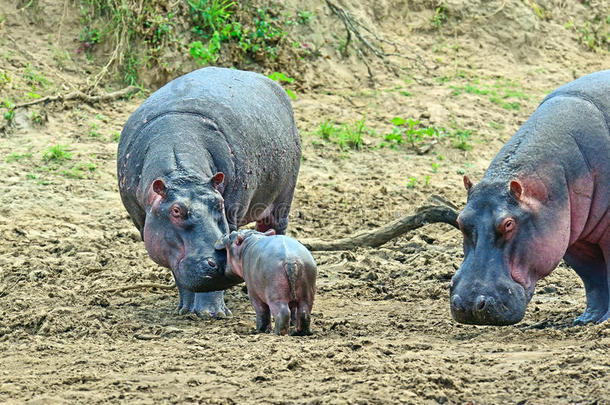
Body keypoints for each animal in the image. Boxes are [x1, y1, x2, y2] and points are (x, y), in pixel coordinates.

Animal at [116, 67, 300, 318]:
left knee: (274, 228)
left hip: (283, 197)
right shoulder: (146, 224)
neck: (183, 173)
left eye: (219, 203)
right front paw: (186, 309)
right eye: (176, 210)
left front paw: (212, 313)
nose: (220, 264)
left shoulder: (230, 215)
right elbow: (178, 270)